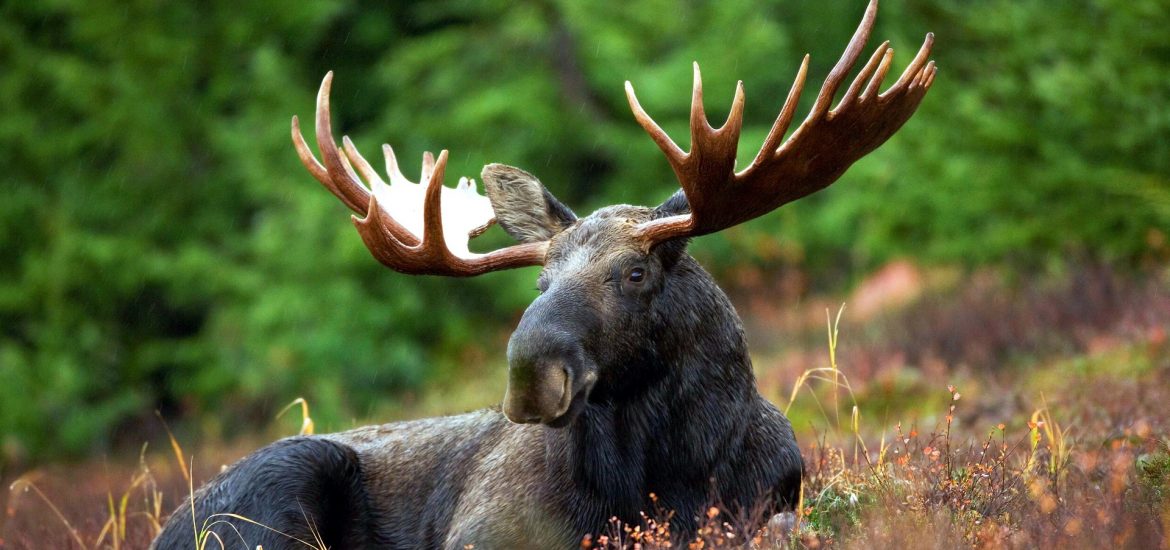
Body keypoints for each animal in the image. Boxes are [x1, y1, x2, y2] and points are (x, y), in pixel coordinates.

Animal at [153, 2, 931, 547]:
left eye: (635, 272)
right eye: (540, 282)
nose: (530, 373)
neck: (668, 476)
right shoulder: (482, 533)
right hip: (277, 484)